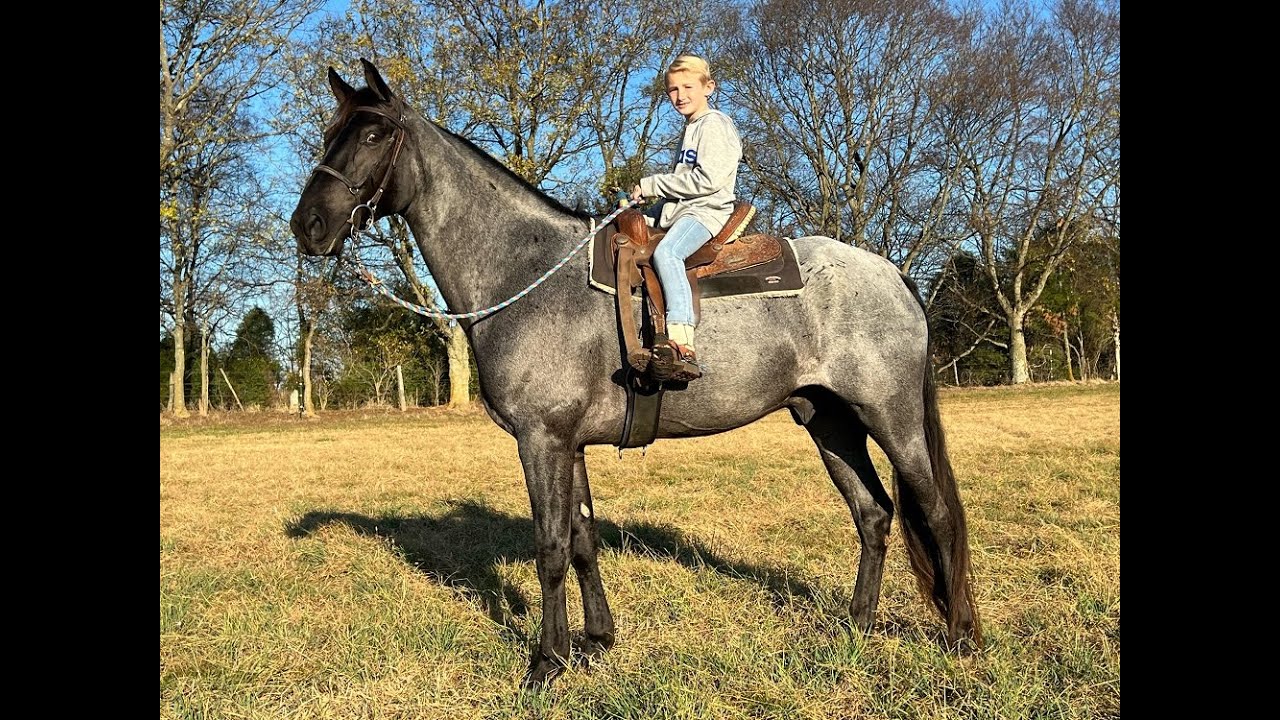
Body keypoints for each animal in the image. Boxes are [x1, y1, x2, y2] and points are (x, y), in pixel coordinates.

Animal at [290, 59, 981, 687]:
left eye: (374, 135)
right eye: (329, 131)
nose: (307, 226)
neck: (525, 272)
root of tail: (891, 273)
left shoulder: (541, 441)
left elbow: (549, 548)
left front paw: (546, 663)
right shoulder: (567, 443)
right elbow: (582, 539)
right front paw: (595, 640)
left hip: (890, 418)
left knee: (937, 512)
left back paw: (961, 638)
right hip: (829, 421)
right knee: (873, 513)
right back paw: (855, 628)